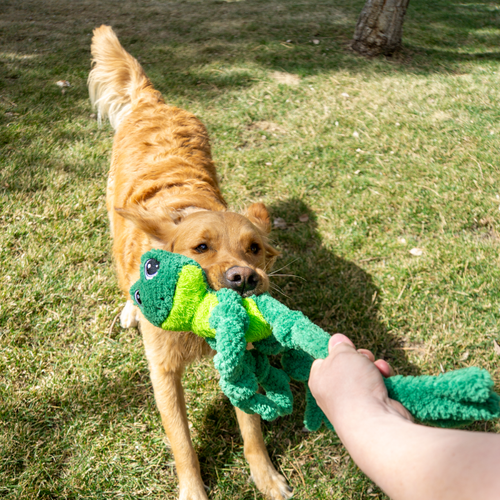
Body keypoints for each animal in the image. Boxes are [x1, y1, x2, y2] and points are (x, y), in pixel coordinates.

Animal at [89, 26, 292, 500]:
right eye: (200, 248)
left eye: (254, 248)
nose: (245, 278)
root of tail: (152, 100)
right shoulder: (163, 372)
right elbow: (181, 441)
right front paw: (193, 490)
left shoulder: (239, 356)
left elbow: (251, 429)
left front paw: (265, 476)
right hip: (112, 216)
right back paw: (129, 308)